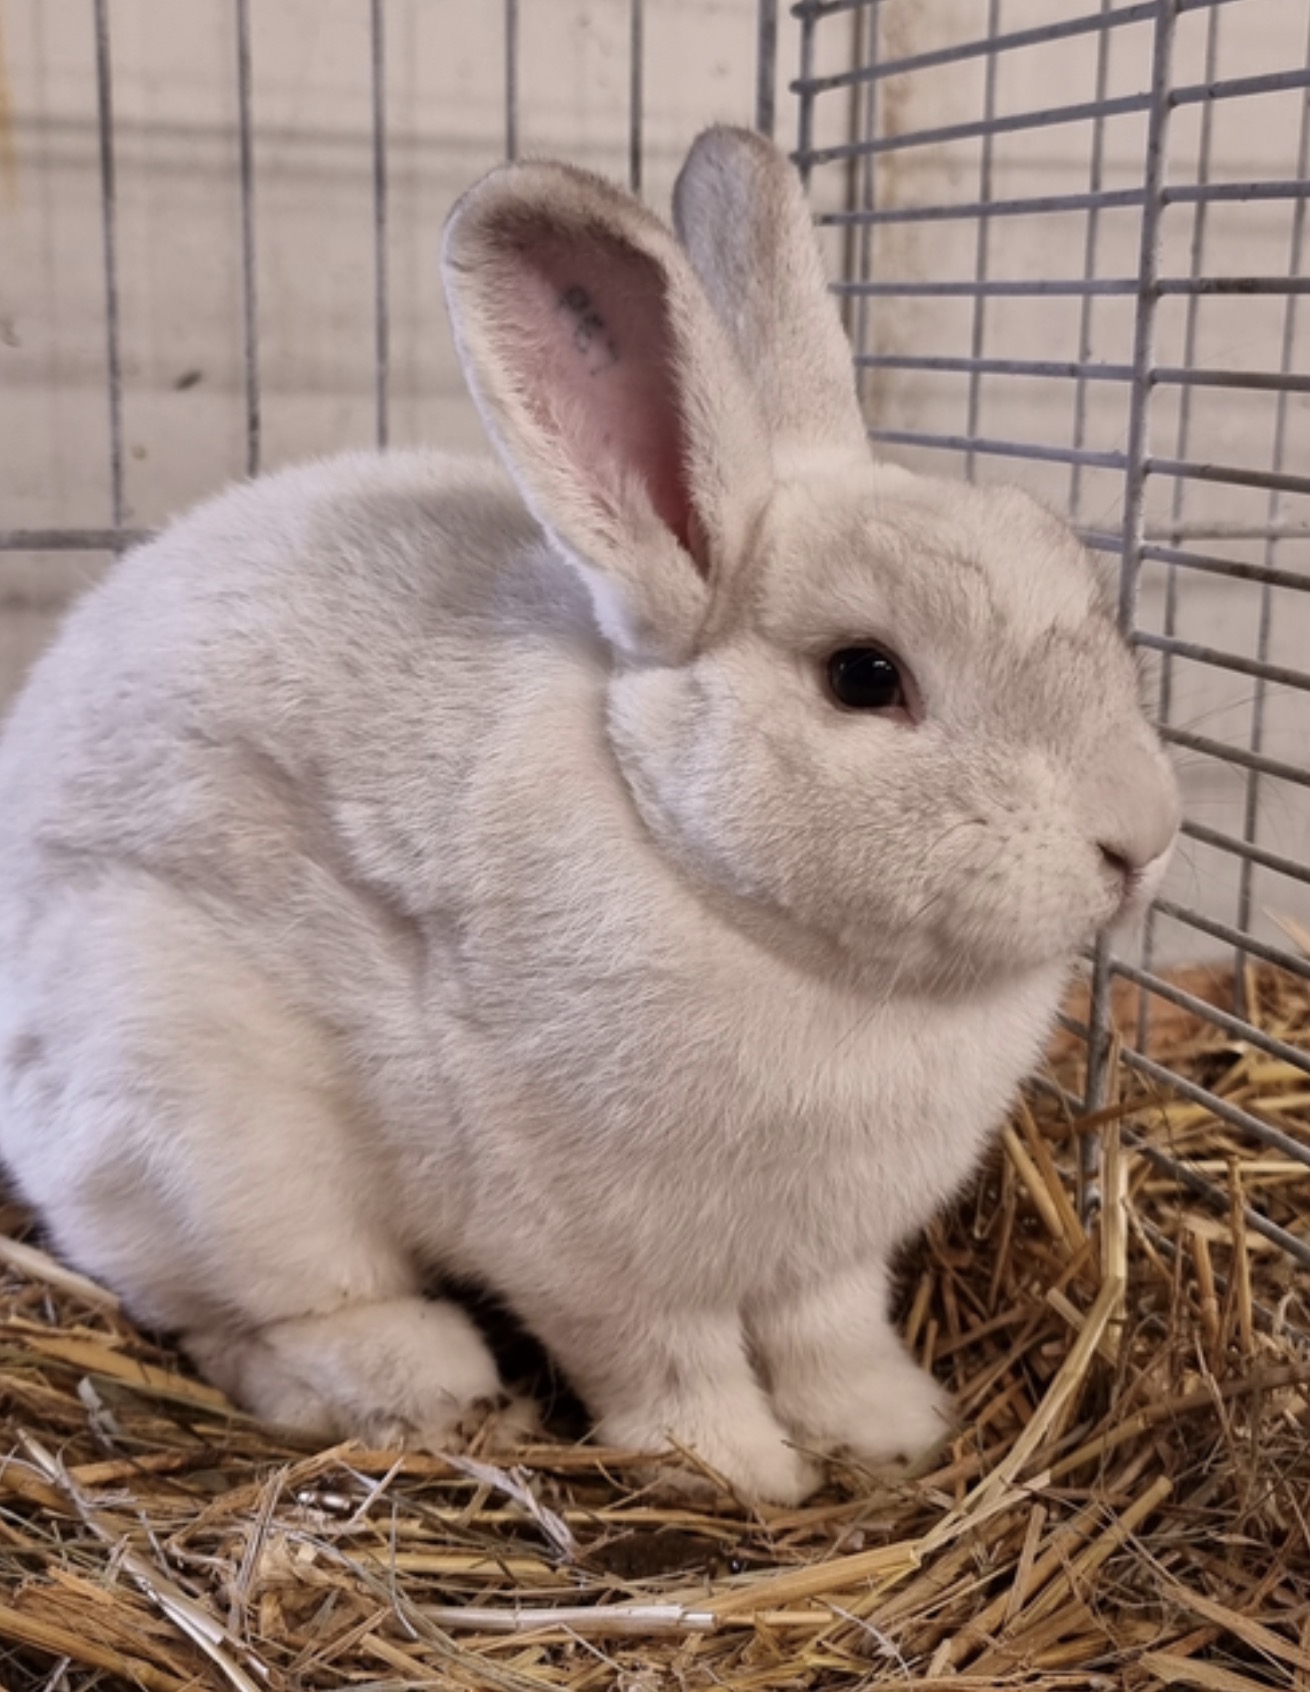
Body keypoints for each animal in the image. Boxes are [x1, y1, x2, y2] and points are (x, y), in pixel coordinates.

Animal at [0, 127, 1179, 1505]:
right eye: (863, 676)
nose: (1140, 839)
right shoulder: (591, 1250)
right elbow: (666, 1363)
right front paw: (739, 1472)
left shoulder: (824, 1258)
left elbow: (829, 1335)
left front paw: (886, 1429)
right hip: (193, 1124)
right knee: (248, 1319)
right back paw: (425, 1378)